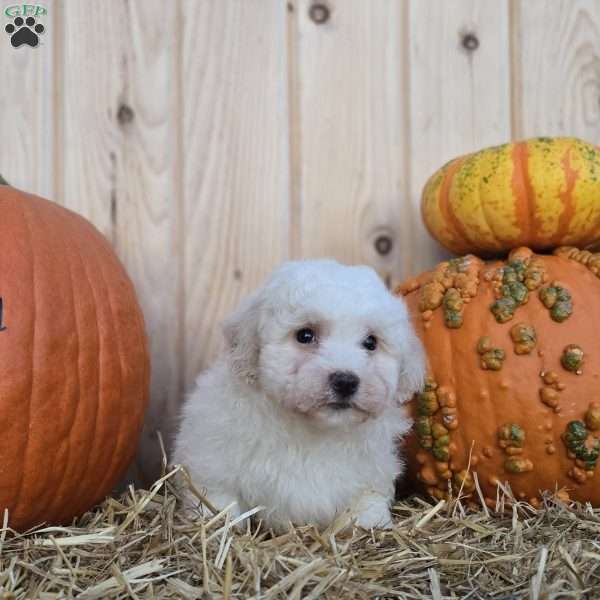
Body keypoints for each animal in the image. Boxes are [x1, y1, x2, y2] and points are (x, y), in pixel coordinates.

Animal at [173, 260, 426, 532]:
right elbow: (220, 500)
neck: (313, 430)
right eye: (305, 335)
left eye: (371, 342)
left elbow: (367, 504)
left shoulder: (371, 476)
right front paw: (220, 524)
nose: (345, 381)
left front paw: (371, 524)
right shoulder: (213, 463)